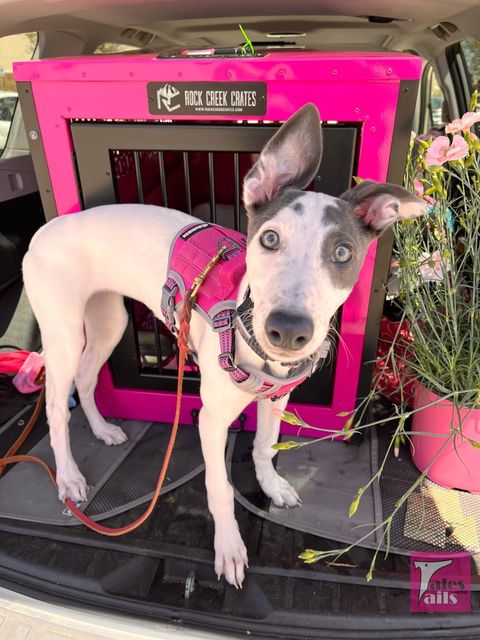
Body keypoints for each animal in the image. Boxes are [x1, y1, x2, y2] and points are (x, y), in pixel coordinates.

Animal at [23, 102, 428, 588]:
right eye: (269, 238)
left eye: (343, 253)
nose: (288, 330)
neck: (259, 352)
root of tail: (47, 228)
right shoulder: (211, 421)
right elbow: (219, 488)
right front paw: (229, 549)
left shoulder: (277, 399)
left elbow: (264, 446)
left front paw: (272, 487)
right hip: (64, 334)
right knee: (55, 408)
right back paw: (68, 478)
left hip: (109, 321)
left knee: (86, 378)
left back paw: (103, 430)